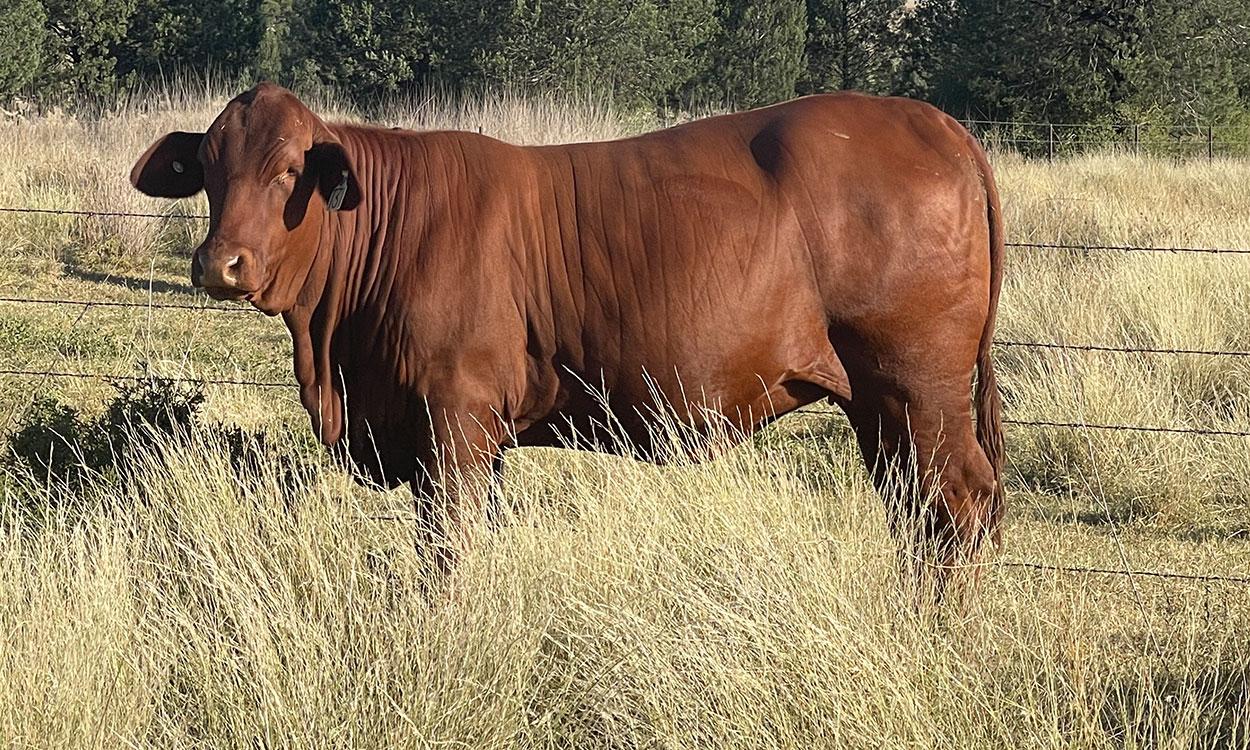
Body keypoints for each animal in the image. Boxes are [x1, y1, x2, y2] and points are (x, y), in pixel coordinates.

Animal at [130, 83, 1005, 591]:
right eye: (207, 169)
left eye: (288, 171)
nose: (220, 263)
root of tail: (937, 124)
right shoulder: (460, 434)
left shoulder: (455, 417)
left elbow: (446, 548)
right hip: (881, 405)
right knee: (917, 509)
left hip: (917, 386)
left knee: (958, 504)